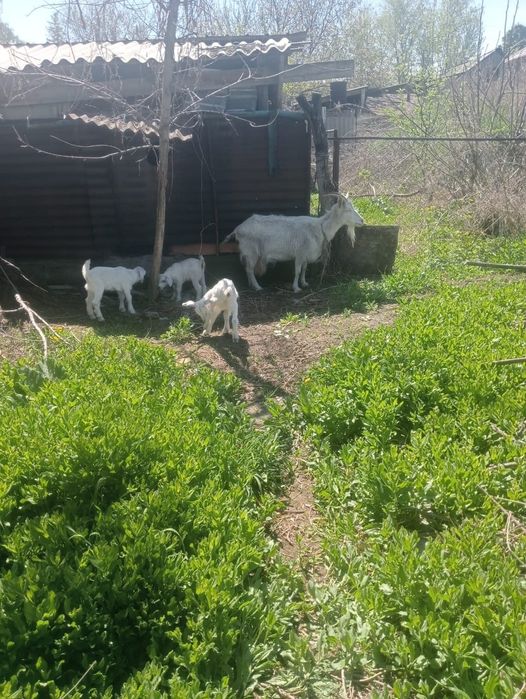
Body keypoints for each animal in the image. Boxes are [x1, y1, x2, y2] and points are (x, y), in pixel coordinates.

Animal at [222, 195, 364, 292]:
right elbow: (297, 271)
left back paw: (251, 285)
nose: (362, 220)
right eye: (348, 210)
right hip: (251, 251)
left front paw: (304, 283)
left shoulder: (306, 255)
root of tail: (238, 228)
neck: (320, 227)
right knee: (250, 269)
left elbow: (304, 269)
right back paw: (257, 287)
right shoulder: (300, 254)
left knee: (247, 269)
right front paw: (296, 288)